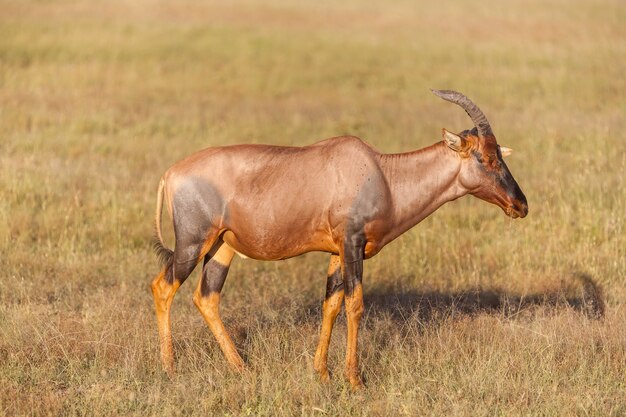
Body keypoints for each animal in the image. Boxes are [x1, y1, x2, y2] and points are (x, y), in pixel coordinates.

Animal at [150, 89, 528, 388]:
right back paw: (170, 368)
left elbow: (330, 305)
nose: (520, 205)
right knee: (163, 287)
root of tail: (171, 173)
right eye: (485, 157)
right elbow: (355, 304)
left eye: (499, 154)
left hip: (222, 247)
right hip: (192, 243)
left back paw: (242, 369)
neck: (382, 173)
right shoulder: (352, 244)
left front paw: (322, 373)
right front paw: (355, 380)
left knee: (206, 297)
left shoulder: (337, 252)